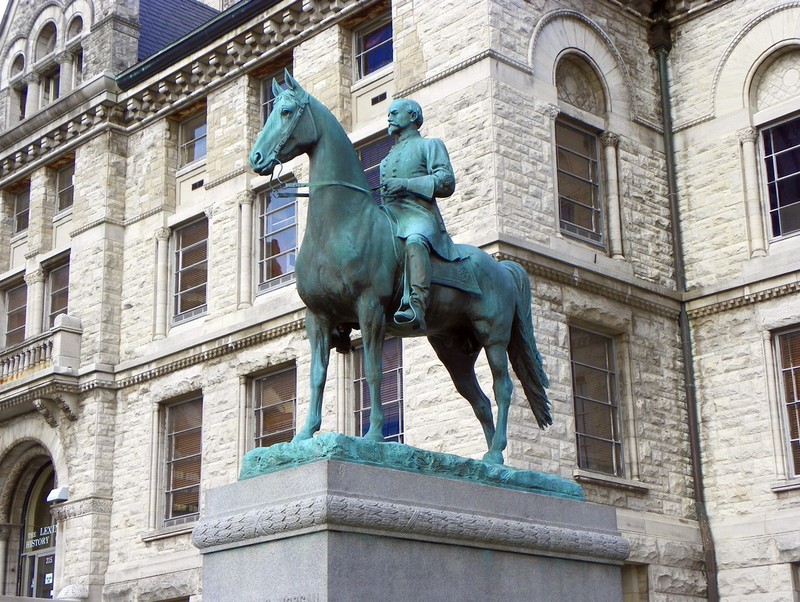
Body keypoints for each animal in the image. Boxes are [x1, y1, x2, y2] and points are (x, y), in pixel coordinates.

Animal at [250, 71, 552, 464]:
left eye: (286, 112)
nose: (256, 158)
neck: (339, 225)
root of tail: (504, 269)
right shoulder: (317, 318)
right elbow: (316, 376)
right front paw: (303, 436)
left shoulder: (370, 309)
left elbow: (374, 371)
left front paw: (374, 435)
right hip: (452, 350)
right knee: (480, 401)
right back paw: (492, 461)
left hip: (493, 337)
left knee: (503, 388)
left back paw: (495, 454)